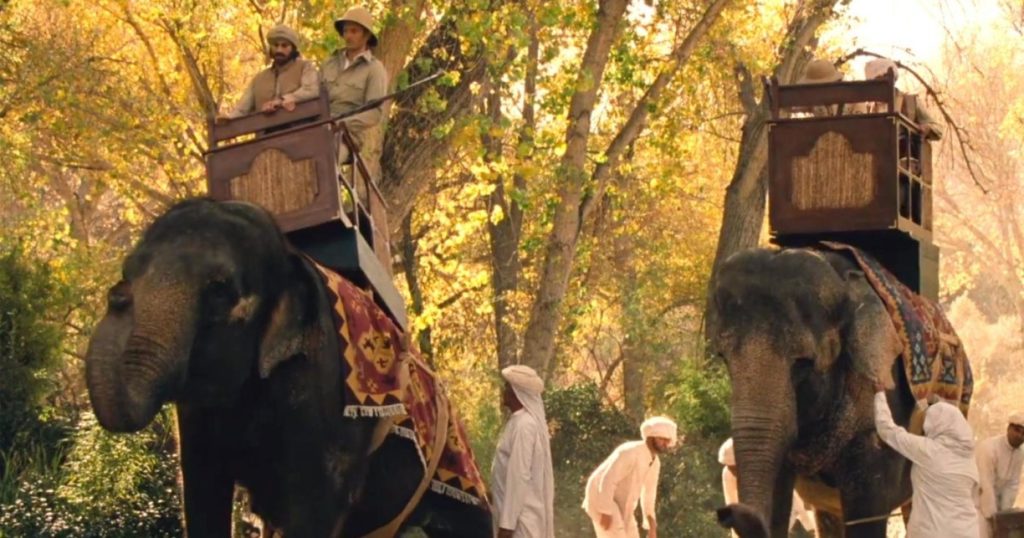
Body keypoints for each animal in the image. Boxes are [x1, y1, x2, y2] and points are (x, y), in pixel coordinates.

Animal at [85, 198, 492, 537]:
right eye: (129, 271)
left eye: (219, 291)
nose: (117, 295)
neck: (288, 253)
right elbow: (203, 493)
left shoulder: (319, 385)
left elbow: (311, 507)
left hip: (457, 468)